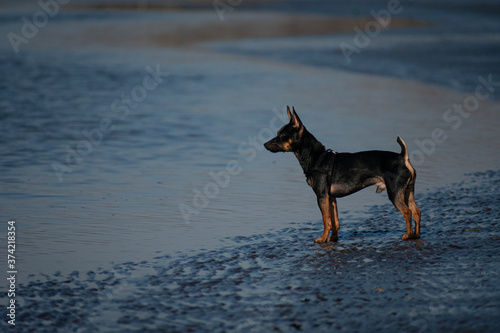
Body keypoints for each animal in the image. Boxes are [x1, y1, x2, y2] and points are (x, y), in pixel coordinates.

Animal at [264, 105, 420, 241]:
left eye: (282, 135)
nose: (265, 144)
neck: (317, 157)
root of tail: (402, 157)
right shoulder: (331, 198)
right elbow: (335, 221)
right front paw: (333, 239)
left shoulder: (321, 196)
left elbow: (326, 220)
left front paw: (322, 239)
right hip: (408, 192)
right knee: (416, 212)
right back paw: (416, 235)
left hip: (394, 193)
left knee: (407, 212)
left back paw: (407, 235)